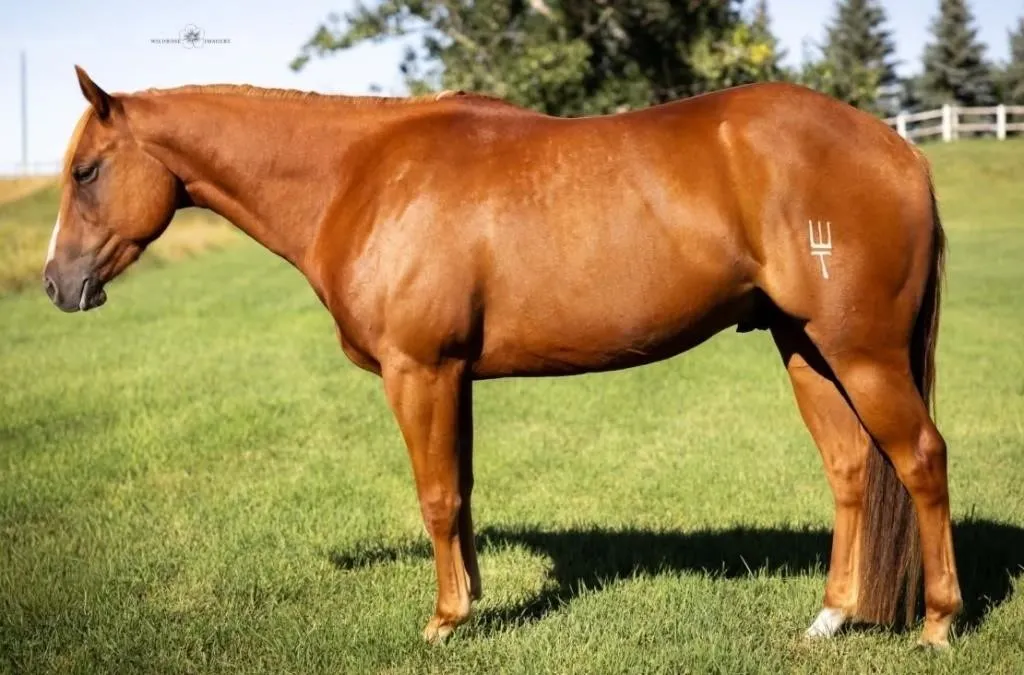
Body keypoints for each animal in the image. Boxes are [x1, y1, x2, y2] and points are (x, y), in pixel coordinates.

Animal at [44, 66, 961, 647]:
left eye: (87, 171)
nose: (57, 283)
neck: (359, 175)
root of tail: (900, 149)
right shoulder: (454, 375)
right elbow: (463, 491)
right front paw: (474, 602)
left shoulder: (420, 370)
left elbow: (437, 496)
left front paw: (444, 621)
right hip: (804, 347)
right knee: (851, 467)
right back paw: (830, 617)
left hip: (862, 351)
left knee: (920, 459)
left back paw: (938, 623)